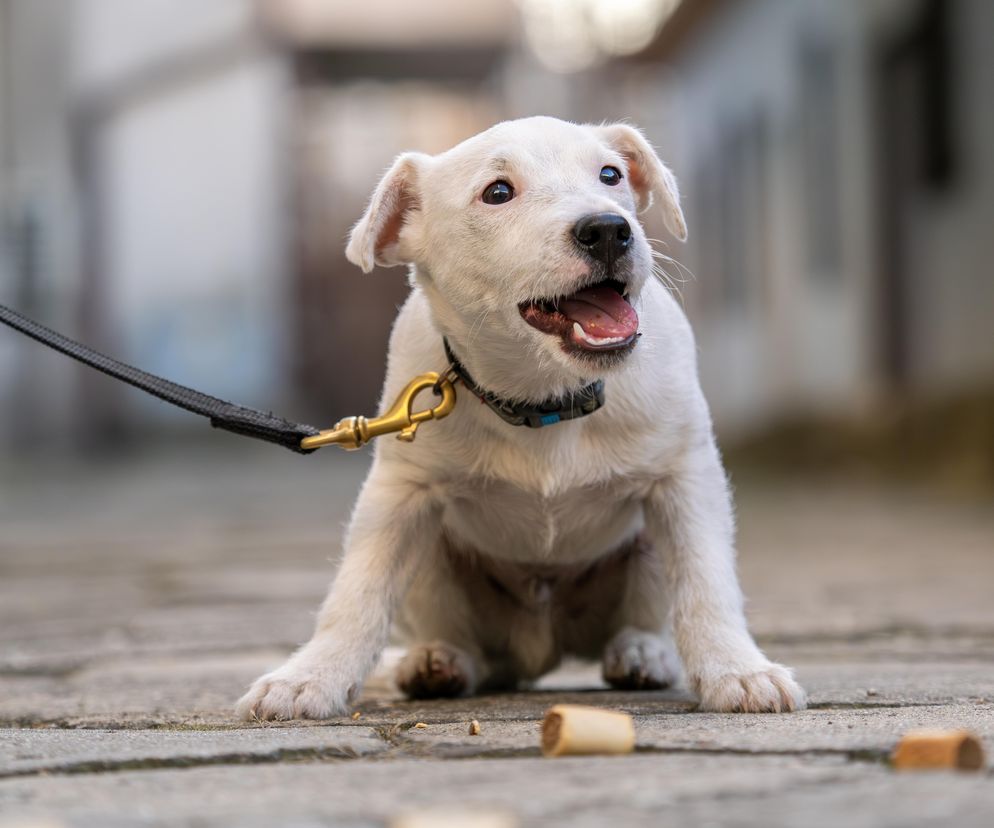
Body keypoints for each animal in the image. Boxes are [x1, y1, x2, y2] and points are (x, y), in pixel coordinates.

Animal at [240, 115, 808, 720]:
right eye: (497, 192)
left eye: (610, 174)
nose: (609, 230)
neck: (547, 396)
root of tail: (542, 649)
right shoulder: (399, 494)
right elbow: (357, 592)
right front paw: (309, 677)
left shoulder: (685, 480)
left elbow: (706, 581)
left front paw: (737, 670)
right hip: (434, 558)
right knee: (475, 649)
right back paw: (438, 662)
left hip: (646, 548)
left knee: (648, 616)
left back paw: (641, 653)